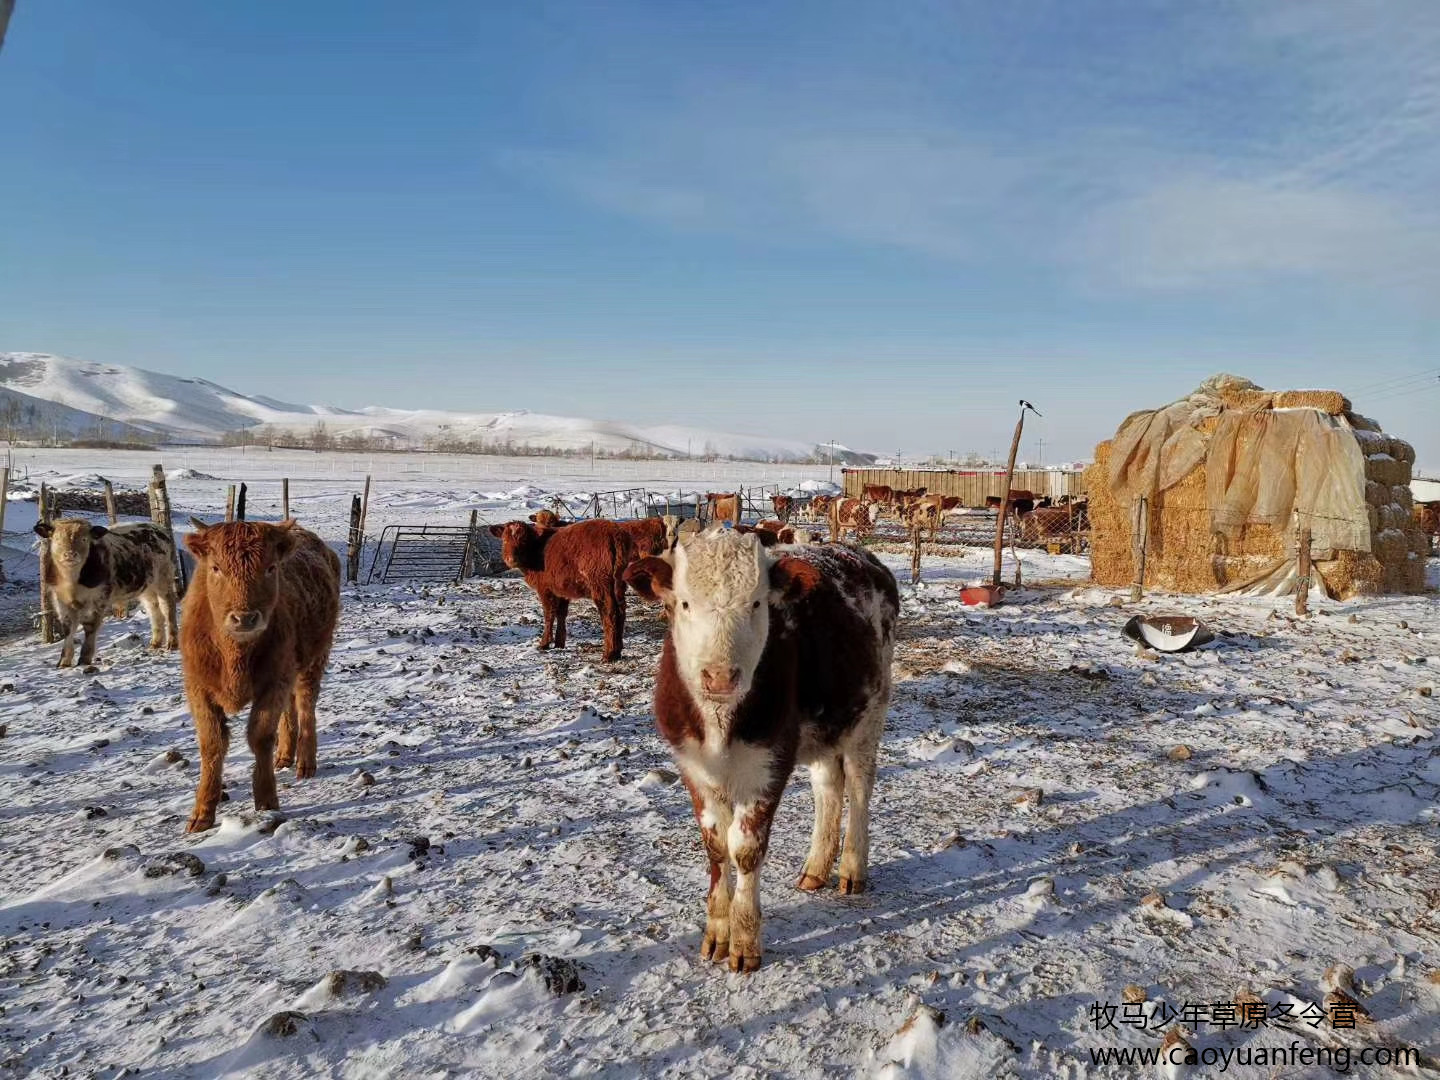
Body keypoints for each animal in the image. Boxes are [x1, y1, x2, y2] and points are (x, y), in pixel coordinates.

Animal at [34, 518, 180, 668]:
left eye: (84, 539)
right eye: (57, 538)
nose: (70, 554)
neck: (72, 582)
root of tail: (157, 527)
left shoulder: (98, 599)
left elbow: (90, 626)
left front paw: (84, 659)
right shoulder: (61, 601)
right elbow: (68, 629)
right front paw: (64, 661)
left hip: (163, 579)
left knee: (168, 608)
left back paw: (172, 642)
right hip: (147, 587)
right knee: (154, 610)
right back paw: (155, 643)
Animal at [177, 521, 336, 835]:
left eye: (271, 568)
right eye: (216, 568)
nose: (245, 618)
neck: (233, 655)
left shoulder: (273, 682)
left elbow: (260, 736)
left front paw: (266, 801)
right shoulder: (198, 687)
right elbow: (212, 743)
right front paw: (202, 813)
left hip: (312, 661)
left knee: (305, 706)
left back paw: (306, 762)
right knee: (291, 709)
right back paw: (285, 755)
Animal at [624, 529, 892, 979]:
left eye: (756, 603)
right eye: (684, 603)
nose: (719, 676)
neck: (719, 725)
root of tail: (854, 552)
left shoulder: (769, 766)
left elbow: (745, 851)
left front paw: (745, 941)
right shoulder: (694, 767)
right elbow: (716, 847)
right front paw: (717, 933)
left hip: (867, 718)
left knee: (858, 788)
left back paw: (852, 868)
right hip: (820, 731)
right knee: (828, 788)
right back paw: (816, 868)